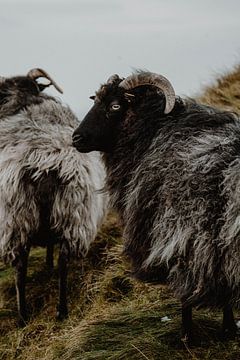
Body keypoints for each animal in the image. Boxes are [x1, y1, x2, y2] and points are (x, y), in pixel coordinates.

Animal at [0, 68, 107, 326]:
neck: (25, 102)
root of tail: (44, 161)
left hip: (17, 219)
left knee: (21, 267)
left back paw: (24, 315)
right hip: (70, 214)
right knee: (62, 262)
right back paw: (61, 310)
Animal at [72, 71, 240, 344]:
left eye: (115, 106)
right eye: (95, 101)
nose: (76, 138)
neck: (152, 131)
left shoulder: (178, 233)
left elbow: (185, 290)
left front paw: (186, 336)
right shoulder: (211, 243)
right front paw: (228, 329)